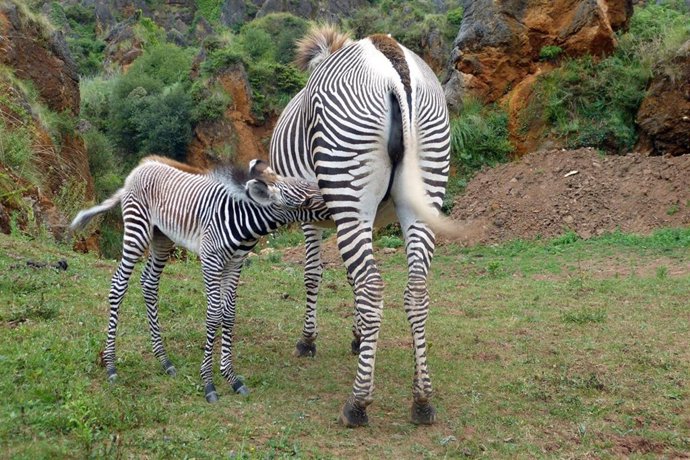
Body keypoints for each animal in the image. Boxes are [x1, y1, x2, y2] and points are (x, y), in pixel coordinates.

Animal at [70, 156, 330, 403]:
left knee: (149, 284)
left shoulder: (234, 264)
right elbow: (214, 315)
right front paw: (209, 383)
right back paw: (111, 365)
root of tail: (138, 169)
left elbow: (229, 314)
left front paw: (231, 378)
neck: (241, 219)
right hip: (137, 231)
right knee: (118, 286)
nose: (334, 205)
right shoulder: (210, 261)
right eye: (306, 201)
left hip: (162, 237)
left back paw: (164, 360)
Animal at [269, 26, 456, 427]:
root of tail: (393, 63)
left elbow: (313, 275)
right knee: (416, 290)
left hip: (348, 185)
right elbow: (349, 276)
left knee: (372, 286)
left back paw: (357, 403)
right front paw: (358, 338)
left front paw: (308, 340)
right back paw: (422, 401)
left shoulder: (308, 213)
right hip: (424, 186)